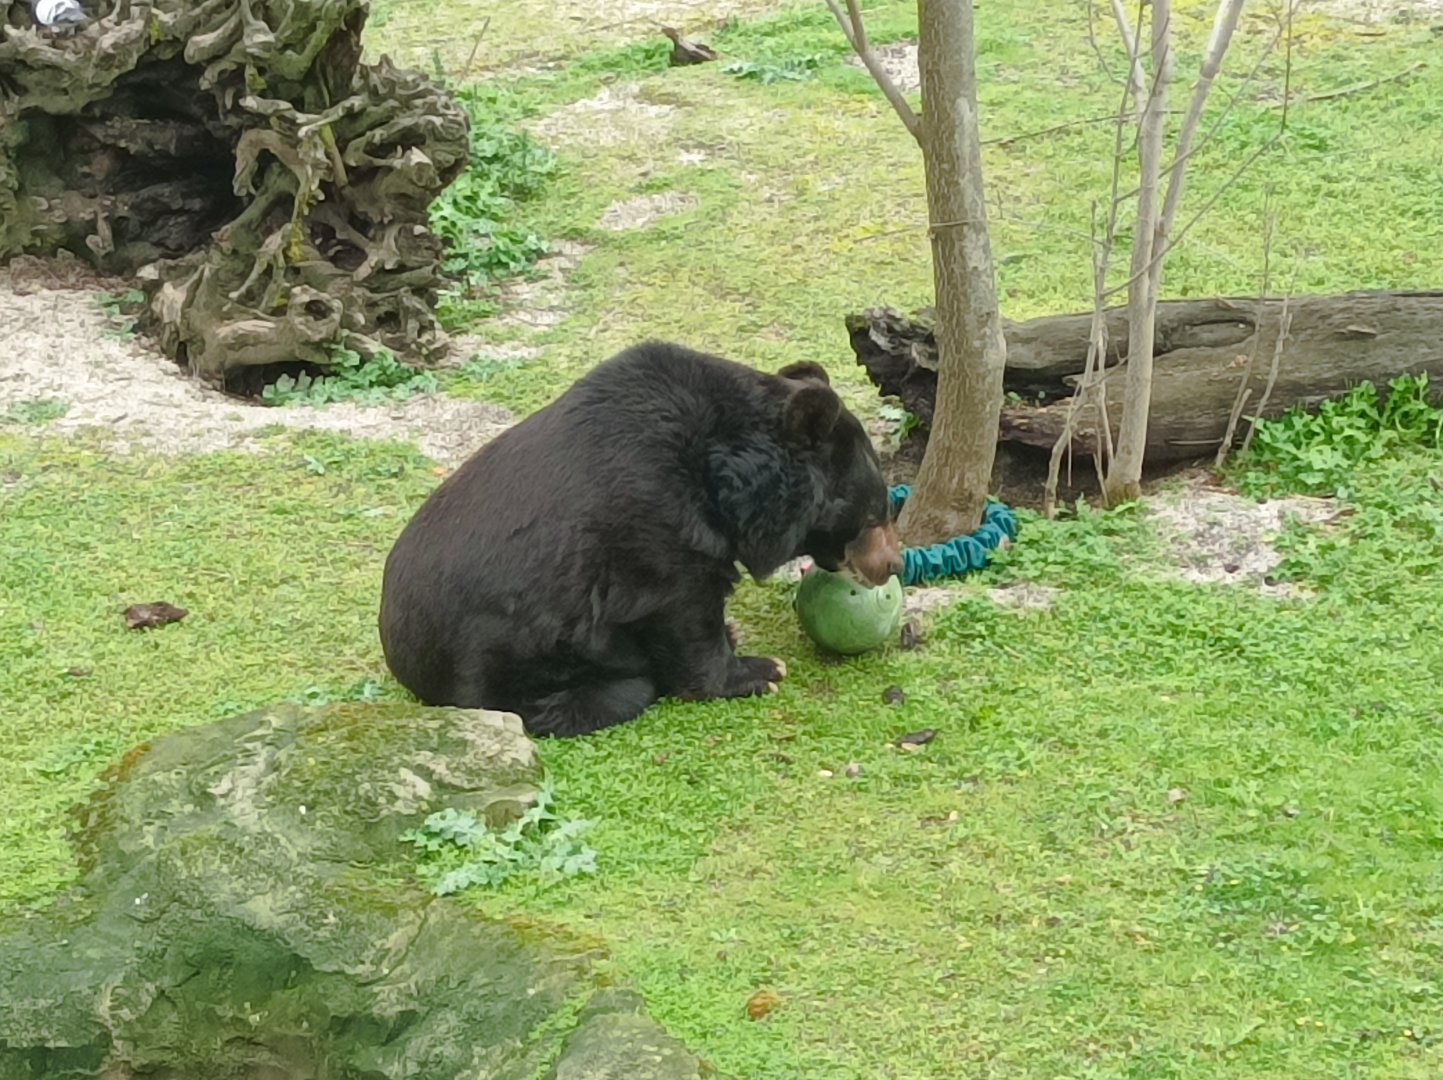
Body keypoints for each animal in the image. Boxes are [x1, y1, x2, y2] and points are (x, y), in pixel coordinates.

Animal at [378, 340, 902, 737]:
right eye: (875, 513)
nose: (893, 565)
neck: (727, 476)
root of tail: (404, 664)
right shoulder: (656, 530)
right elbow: (686, 613)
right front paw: (760, 671)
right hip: (512, 658)